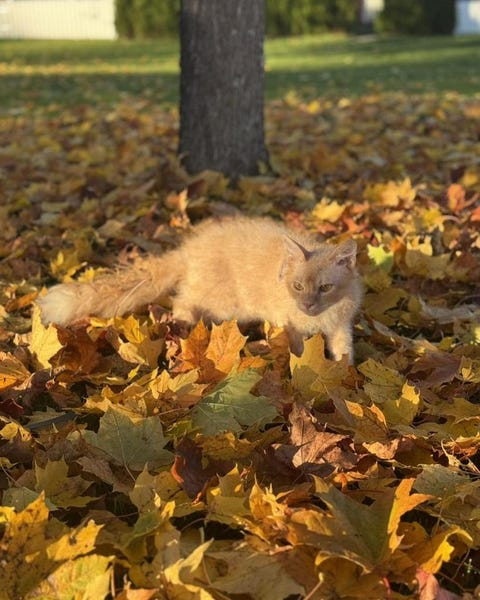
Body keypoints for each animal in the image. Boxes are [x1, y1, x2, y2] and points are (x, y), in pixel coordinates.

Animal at [38, 216, 363, 362]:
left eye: (324, 287)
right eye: (297, 286)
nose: (307, 305)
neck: (321, 318)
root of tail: (187, 250)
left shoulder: (341, 328)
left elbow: (344, 353)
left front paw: (344, 378)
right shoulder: (289, 325)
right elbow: (298, 350)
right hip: (222, 303)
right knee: (182, 302)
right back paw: (184, 326)